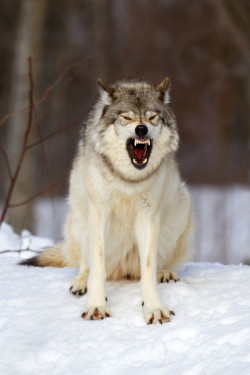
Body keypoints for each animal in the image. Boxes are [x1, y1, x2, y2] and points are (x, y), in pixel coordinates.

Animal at [21, 78, 193, 326]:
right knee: (85, 263)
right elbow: (98, 265)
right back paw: (80, 282)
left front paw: (154, 307)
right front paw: (96, 305)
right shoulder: (99, 211)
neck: (128, 180)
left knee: (156, 264)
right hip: (78, 218)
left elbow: (148, 268)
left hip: (182, 206)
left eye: (152, 117)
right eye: (127, 118)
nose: (141, 129)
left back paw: (165, 272)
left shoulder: (148, 214)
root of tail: (124, 269)